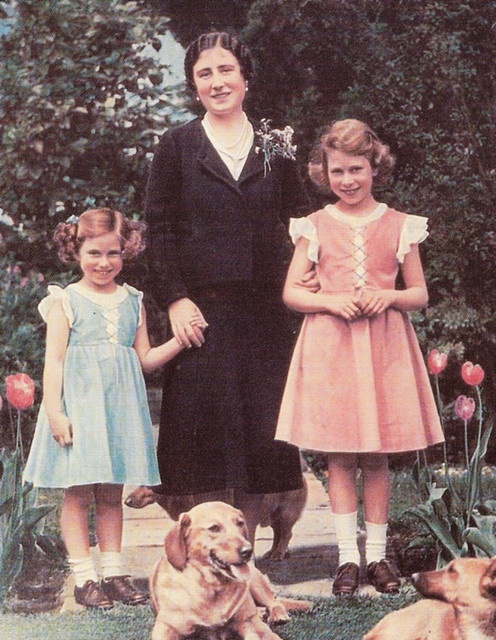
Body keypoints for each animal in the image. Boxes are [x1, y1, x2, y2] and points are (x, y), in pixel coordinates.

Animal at [149, 500, 310, 640]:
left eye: (240, 523)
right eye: (214, 528)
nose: (248, 551)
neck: (212, 586)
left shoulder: (252, 625)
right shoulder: (166, 627)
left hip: (256, 582)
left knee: (274, 601)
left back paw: (276, 615)